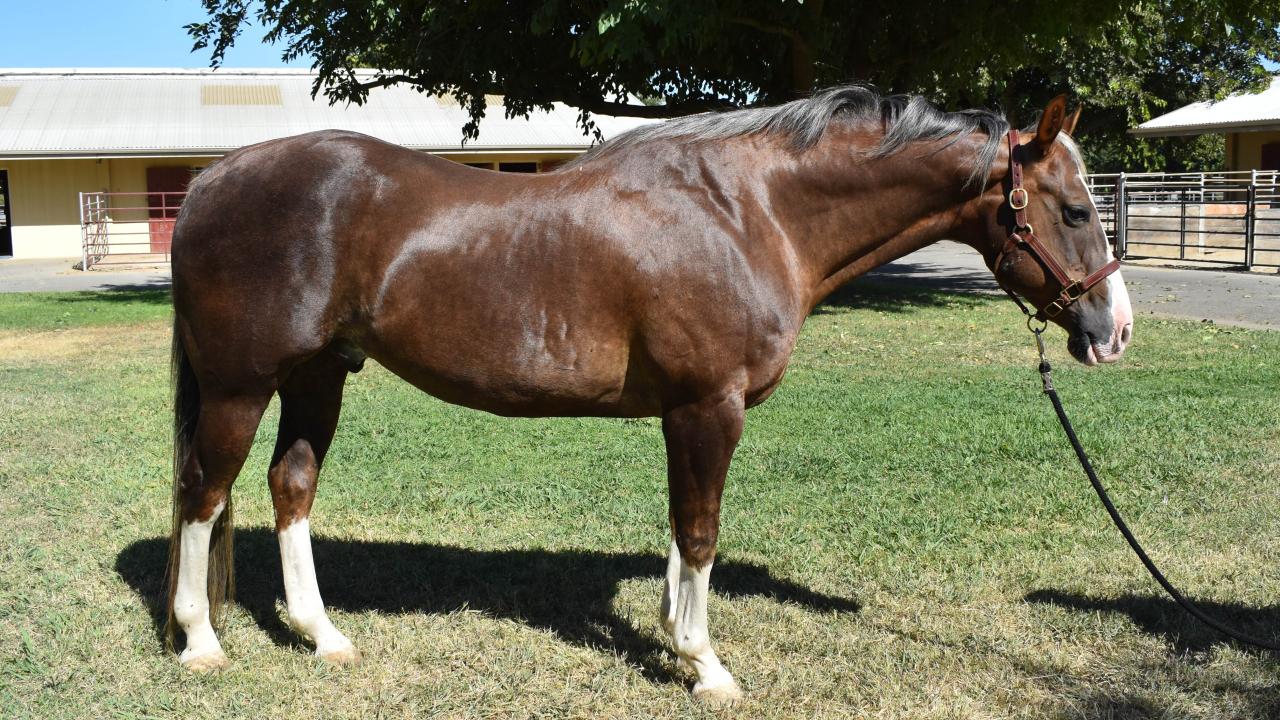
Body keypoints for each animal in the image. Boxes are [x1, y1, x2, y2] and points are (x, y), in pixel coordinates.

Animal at [164, 86, 1133, 703]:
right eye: (1076, 210)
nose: (1114, 330)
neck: (748, 212)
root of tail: (212, 179)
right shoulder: (710, 407)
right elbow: (701, 533)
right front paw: (707, 667)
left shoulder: (685, 413)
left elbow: (680, 531)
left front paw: (676, 636)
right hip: (241, 386)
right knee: (204, 494)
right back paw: (201, 644)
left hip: (320, 374)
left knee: (289, 487)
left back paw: (322, 636)